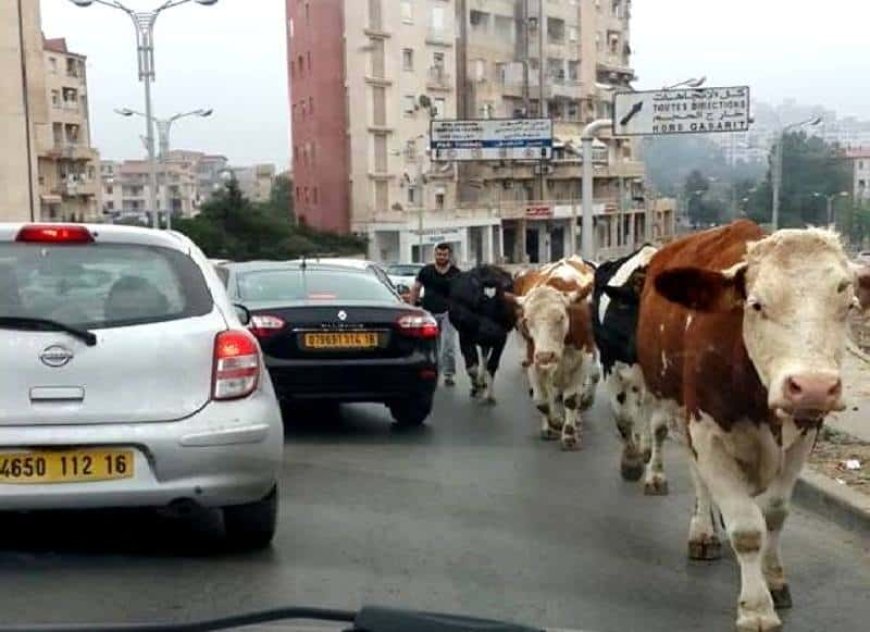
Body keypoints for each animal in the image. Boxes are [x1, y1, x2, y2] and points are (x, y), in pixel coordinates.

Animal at [636, 220, 870, 628]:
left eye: (850, 306)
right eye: (756, 304)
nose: (813, 386)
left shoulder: (804, 436)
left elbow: (774, 513)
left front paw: (773, 579)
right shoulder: (706, 431)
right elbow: (746, 528)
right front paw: (757, 608)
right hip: (667, 397)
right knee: (686, 464)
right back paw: (701, 529)